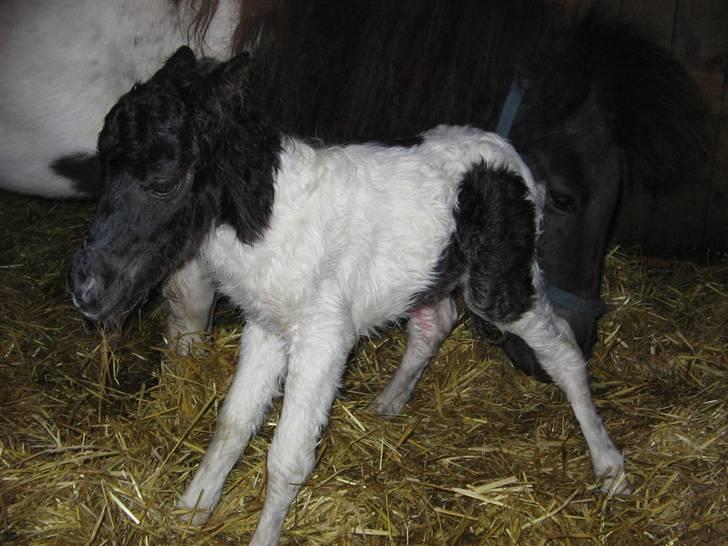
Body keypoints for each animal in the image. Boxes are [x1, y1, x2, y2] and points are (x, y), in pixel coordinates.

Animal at [67, 46, 624, 544]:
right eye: (104, 163)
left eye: (163, 181)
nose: (86, 289)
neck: (269, 216)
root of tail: (510, 157)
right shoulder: (267, 326)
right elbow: (233, 422)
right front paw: (192, 508)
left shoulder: (323, 336)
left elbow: (288, 457)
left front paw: (260, 535)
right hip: (426, 271)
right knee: (436, 321)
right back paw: (389, 403)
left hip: (500, 282)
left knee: (563, 350)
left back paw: (610, 466)